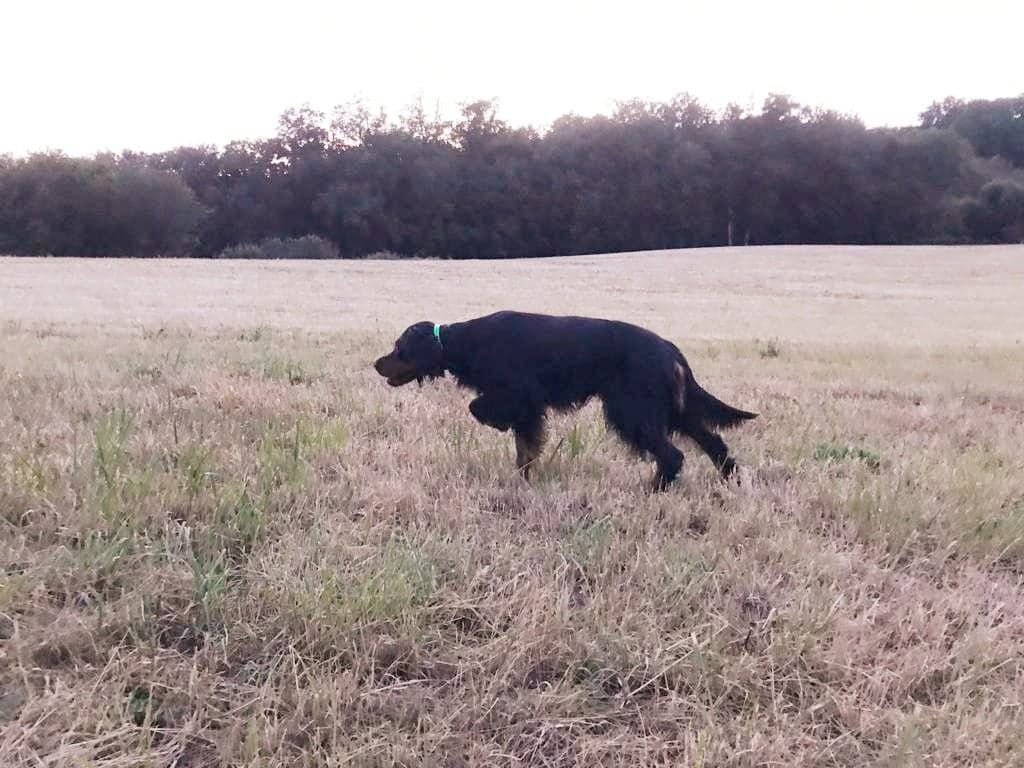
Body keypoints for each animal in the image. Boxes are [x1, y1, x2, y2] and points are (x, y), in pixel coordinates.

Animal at [372, 311, 757, 487]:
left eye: (398, 347)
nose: (376, 363)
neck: (466, 342)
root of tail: (670, 350)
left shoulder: (523, 397)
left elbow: (479, 408)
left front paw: (496, 425)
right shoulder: (529, 409)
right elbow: (525, 449)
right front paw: (524, 479)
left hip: (632, 410)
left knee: (672, 454)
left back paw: (655, 489)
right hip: (672, 410)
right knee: (713, 441)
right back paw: (730, 479)